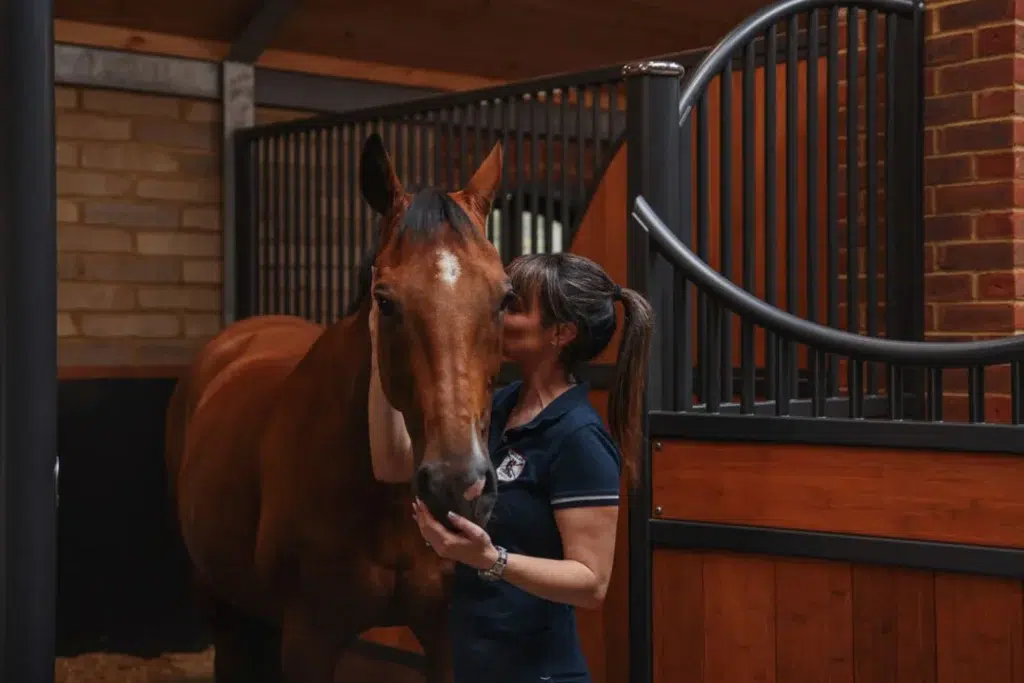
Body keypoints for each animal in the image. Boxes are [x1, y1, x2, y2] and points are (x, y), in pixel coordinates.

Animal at [165, 132, 512, 683]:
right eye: (385, 300)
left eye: (504, 298)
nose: (458, 485)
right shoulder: (310, 638)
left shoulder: (444, 635)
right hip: (214, 593)